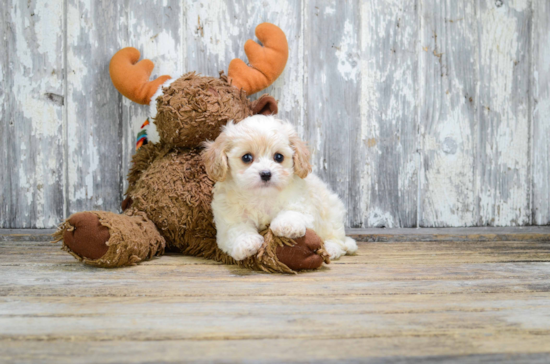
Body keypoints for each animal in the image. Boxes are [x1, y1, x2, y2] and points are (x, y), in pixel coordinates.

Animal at [203, 115, 358, 260]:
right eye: (246, 157)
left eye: (279, 157)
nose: (266, 174)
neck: (262, 196)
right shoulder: (228, 218)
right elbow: (236, 229)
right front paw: (246, 243)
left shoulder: (303, 204)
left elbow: (293, 211)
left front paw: (287, 225)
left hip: (332, 215)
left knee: (338, 240)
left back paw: (331, 249)